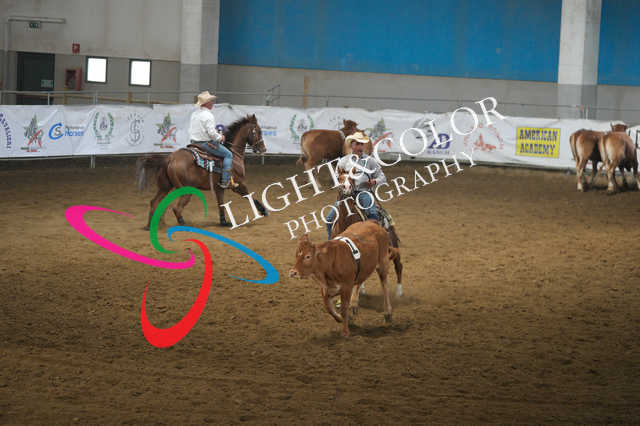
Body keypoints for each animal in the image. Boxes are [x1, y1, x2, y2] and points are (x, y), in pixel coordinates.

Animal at [135, 114, 269, 228]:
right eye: (258, 131)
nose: (263, 149)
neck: (233, 155)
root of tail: (170, 158)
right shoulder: (238, 185)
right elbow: (249, 196)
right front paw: (264, 211)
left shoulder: (219, 188)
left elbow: (221, 204)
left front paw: (223, 222)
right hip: (185, 190)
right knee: (176, 208)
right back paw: (183, 223)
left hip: (165, 187)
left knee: (154, 202)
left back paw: (150, 225)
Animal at [330, 167, 404, 297]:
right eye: (339, 178)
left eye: (351, 178)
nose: (347, 187)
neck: (346, 221)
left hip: (393, 243)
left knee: (398, 265)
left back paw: (399, 292)